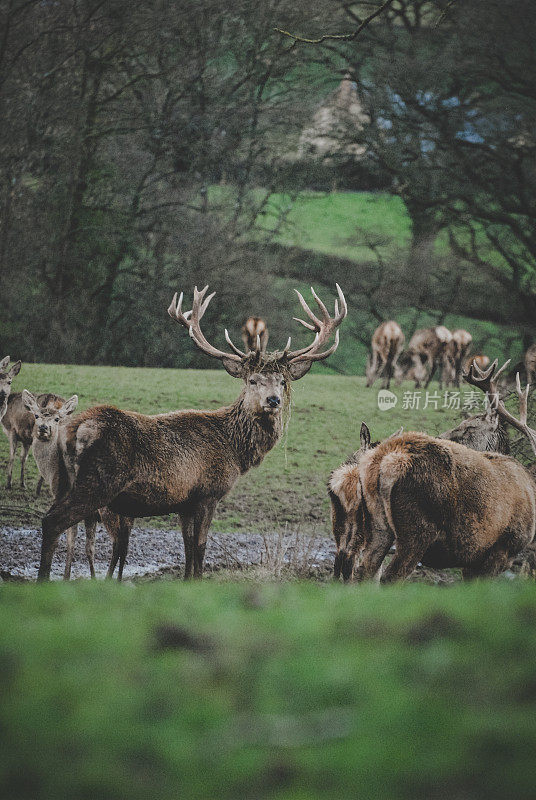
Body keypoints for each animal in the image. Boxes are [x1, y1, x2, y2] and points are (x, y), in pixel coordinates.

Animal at [37, 284, 348, 580]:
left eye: (282, 381)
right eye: (252, 380)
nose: (273, 401)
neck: (234, 450)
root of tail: (73, 430)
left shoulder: (184, 502)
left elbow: (187, 548)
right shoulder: (208, 493)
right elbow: (200, 547)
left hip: (62, 482)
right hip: (98, 481)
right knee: (52, 521)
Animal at [328, 360, 536, 580]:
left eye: (469, 426)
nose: (439, 436)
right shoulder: (501, 549)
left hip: (374, 528)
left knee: (360, 569)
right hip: (416, 530)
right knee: (384, 574)